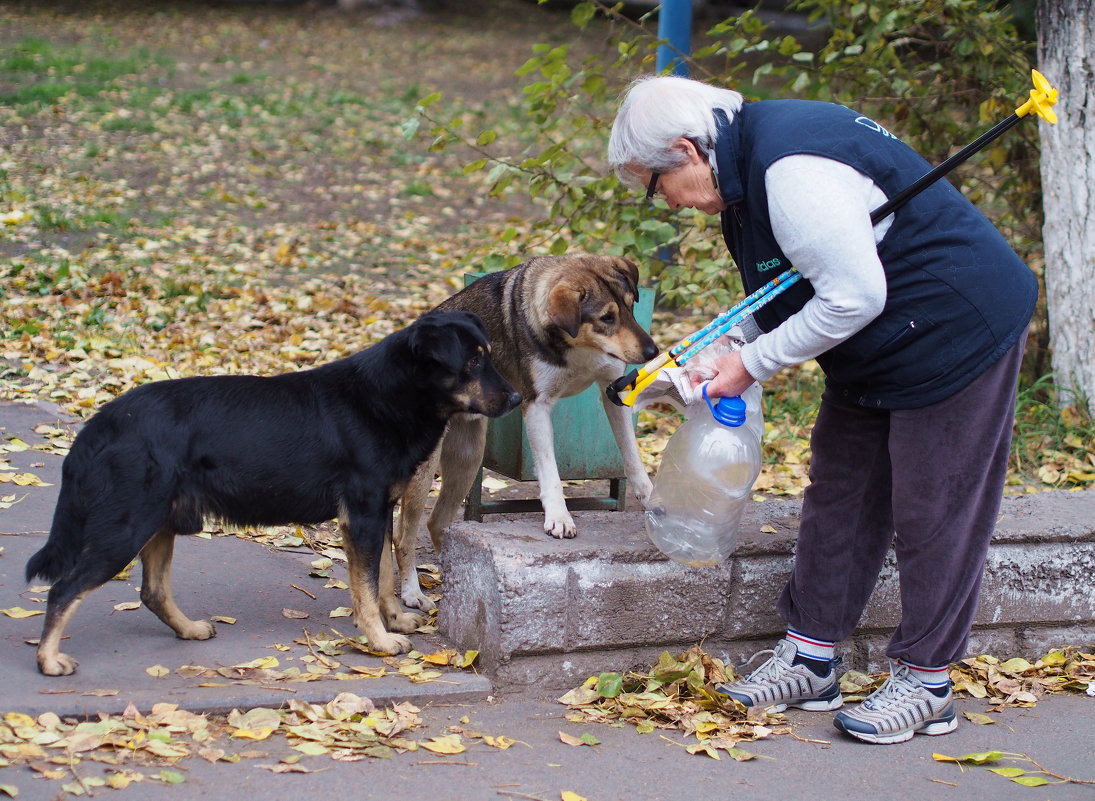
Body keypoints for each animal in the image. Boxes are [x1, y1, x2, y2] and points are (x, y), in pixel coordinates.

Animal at [24, 310, 521, 674]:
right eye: (472, 362)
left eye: (487, 356)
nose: (517, 399)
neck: (390, 395)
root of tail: (101, 424)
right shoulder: (362, 515)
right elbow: (364, 588)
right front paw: (380, 640)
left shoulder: (379, 513)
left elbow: (380, 579)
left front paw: (395, 619)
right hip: (127, 526)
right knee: (64, 589)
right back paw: (49, 660)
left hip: (159, 522)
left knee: (152, 592)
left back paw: (189, 630)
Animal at [392, 253, 652, 608]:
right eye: (606, 317)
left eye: (630, 305)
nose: (653, 352)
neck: (577, 344)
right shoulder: (537, 406)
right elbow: (550, 473)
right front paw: (558, 518)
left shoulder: (613, 389)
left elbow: (631, 452)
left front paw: (649, 493)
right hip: (425, 472)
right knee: (403, 536)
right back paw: (412, 593)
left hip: (467, 460)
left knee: (436, 522)